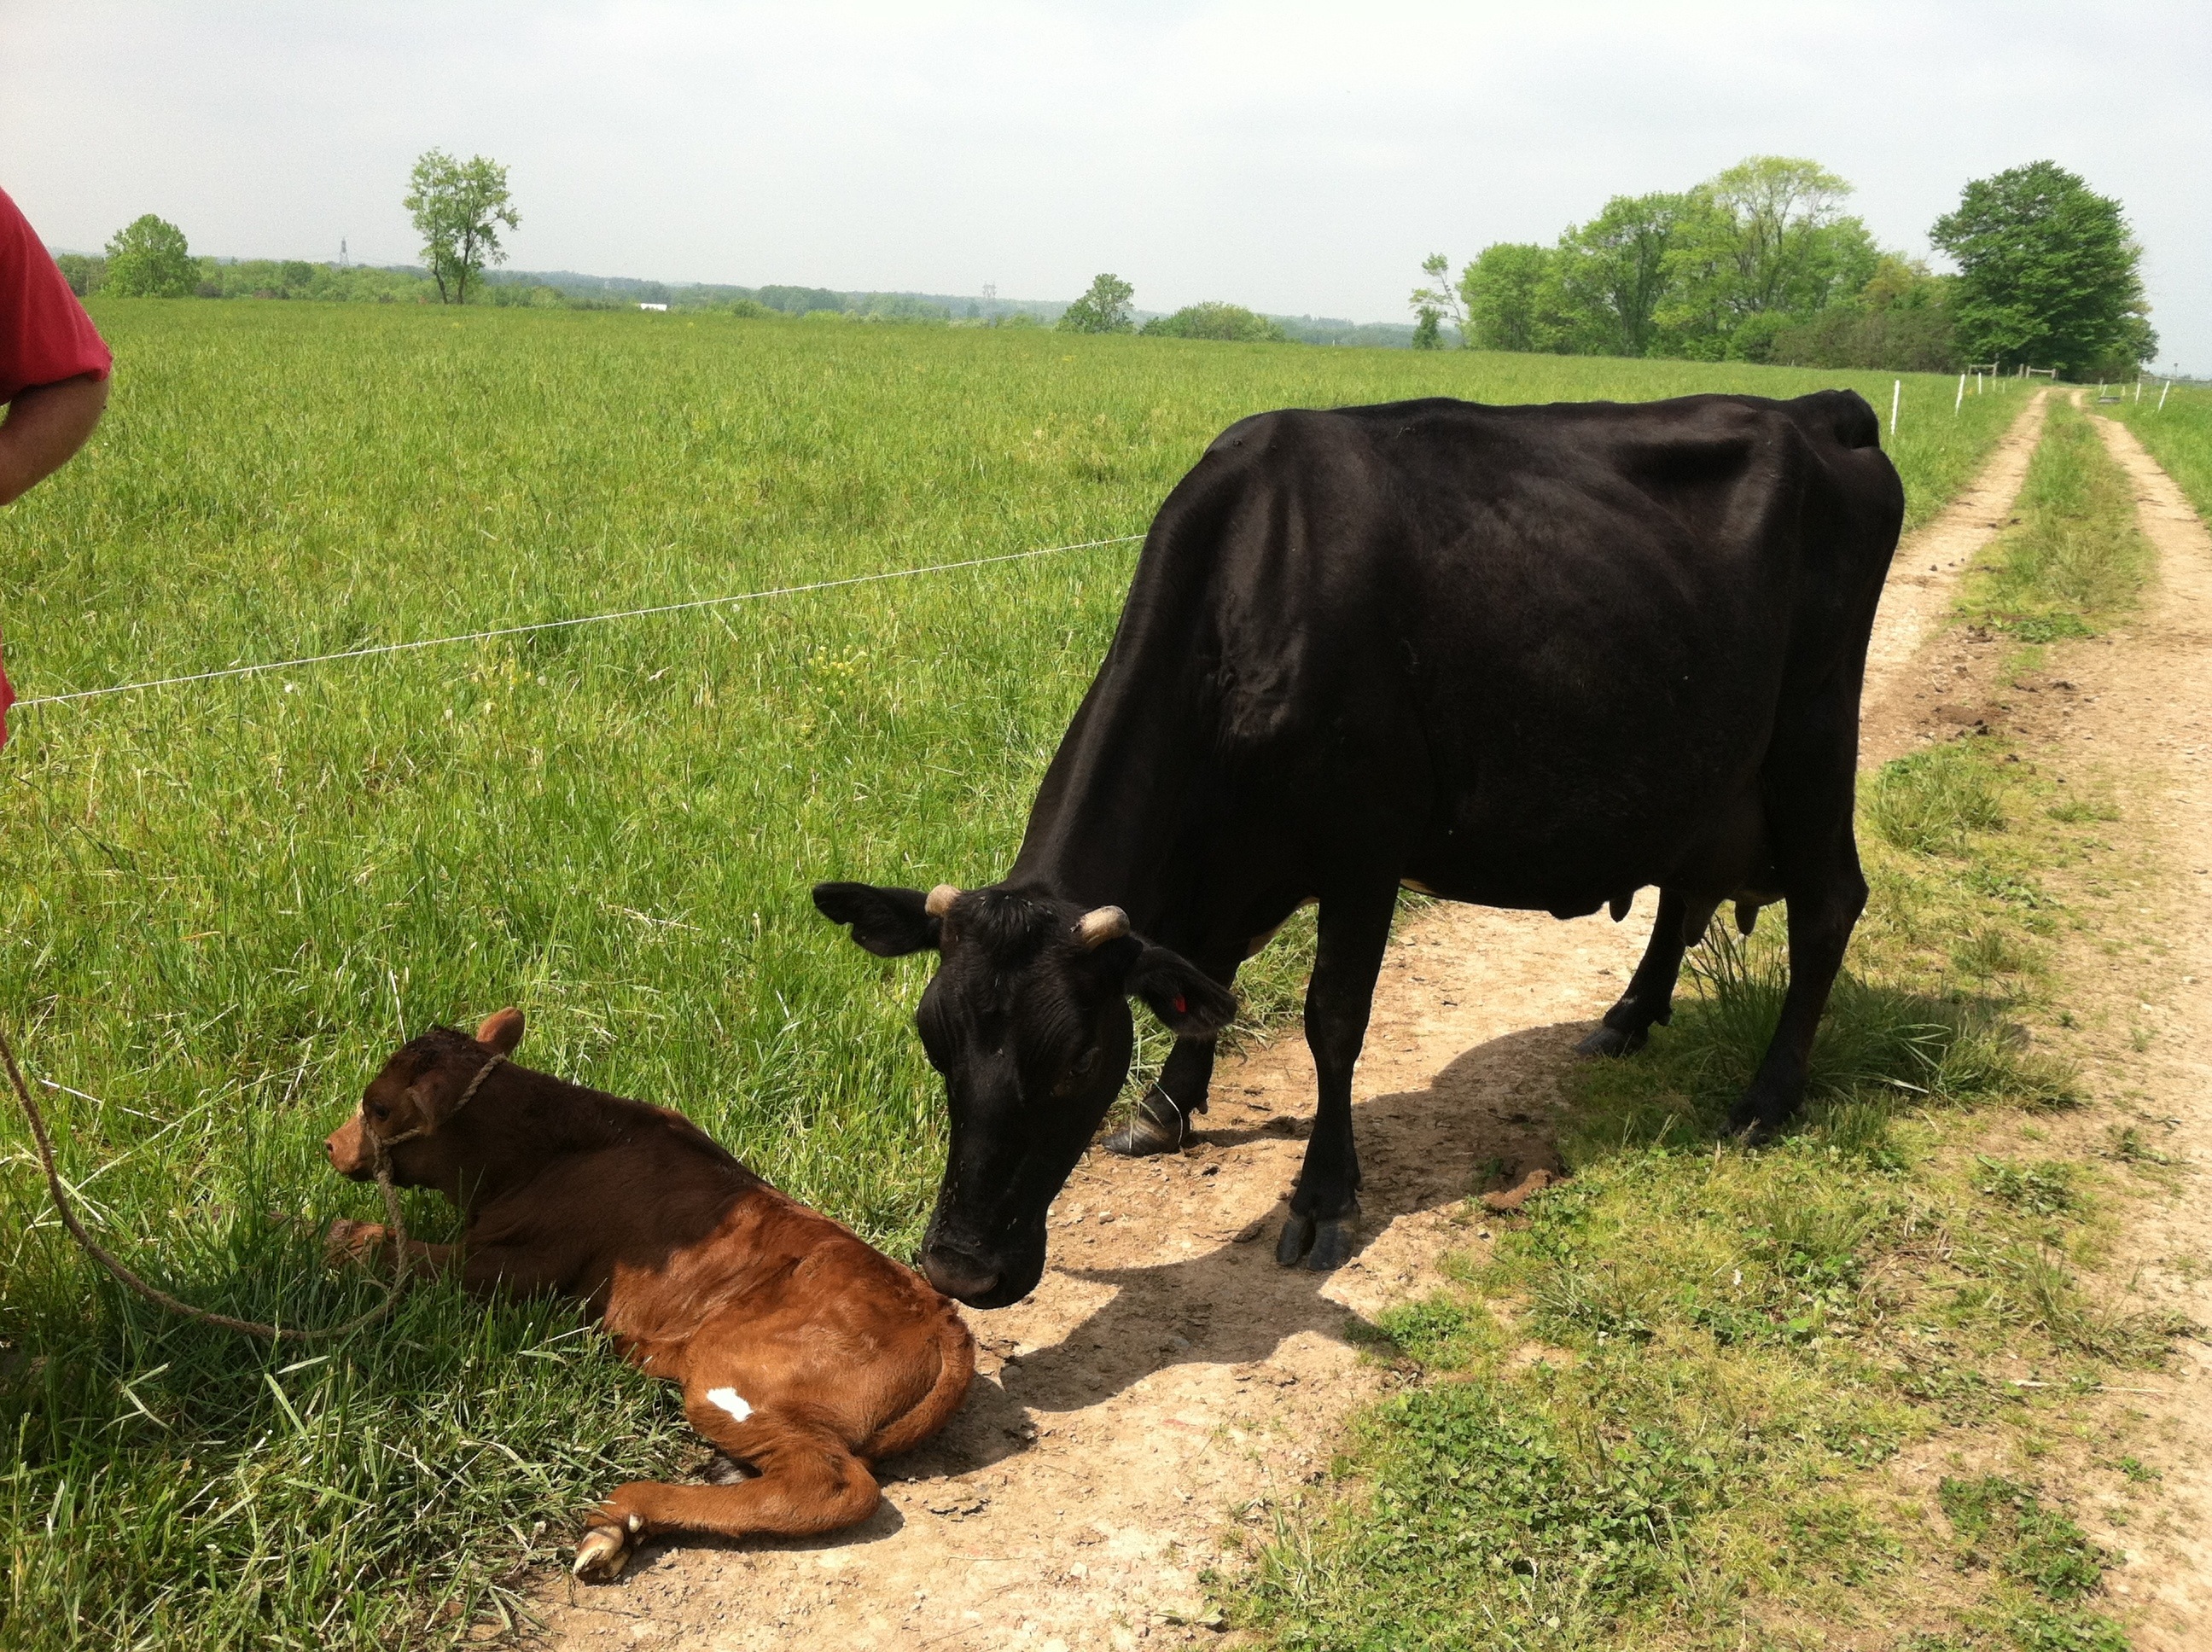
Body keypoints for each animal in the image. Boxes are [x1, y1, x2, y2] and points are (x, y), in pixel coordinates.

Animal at [322, 1008, 974, 1580]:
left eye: (379, 1107)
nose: (330, 1145)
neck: (535, 1150)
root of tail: (941, 1315)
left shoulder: (516, 1265)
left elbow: (381, 1246)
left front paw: (320, 1235)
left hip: (732, 1377)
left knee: (829, 1486)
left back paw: (622, 1514)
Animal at [815, 390, 1904, 1310]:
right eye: (934, 1039)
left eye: (1079, 1057)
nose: (961, 1270)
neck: (1250, 597)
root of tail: (1821, 409)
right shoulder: (1235, 861)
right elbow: (1204, 978)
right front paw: (1168, 1106)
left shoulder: (1364, 847)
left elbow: (1333, 1020)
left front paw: (1323, 1195)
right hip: (1701, 763)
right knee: (1684, 891)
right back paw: (1629, 1018)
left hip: (1811, 736)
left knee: (1830, 903)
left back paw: (1767, 1097)